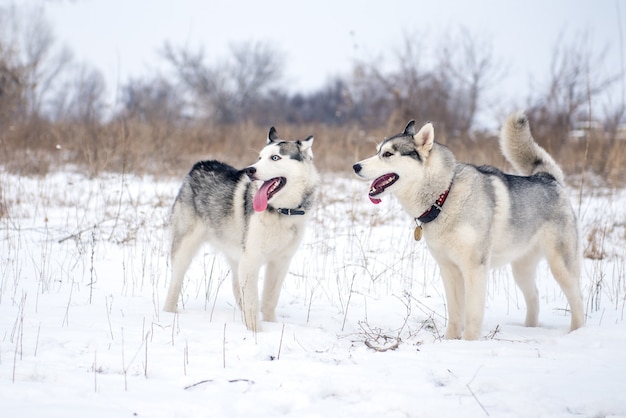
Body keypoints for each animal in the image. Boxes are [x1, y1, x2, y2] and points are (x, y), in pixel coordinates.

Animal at [162, 129, 316, 332]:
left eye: (275, 157)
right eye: (259, 157)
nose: (250, 170)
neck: (281, 212)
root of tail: (199, 165)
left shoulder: (280, 262)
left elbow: (269, 299)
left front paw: (271, 325)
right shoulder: (251, 260)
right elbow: (253, 302)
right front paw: (256, 332)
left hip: (236, 257)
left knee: (238, 289)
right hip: (184, 249)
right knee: (175, 283)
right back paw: (169, 313)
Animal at [354, 112, 584, 342]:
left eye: (388, 154)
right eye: (378, 151)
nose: (356, 166)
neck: (444, 196)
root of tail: (548, 178)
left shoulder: (474, 268)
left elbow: (472, 313)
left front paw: (469, 343)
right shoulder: (449, 269)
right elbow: (456, 313)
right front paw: (450, 341)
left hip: (560, 265)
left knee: (577, 298)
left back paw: (577, 332)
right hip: (521, 269)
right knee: (534, 296)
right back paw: (529, 329)